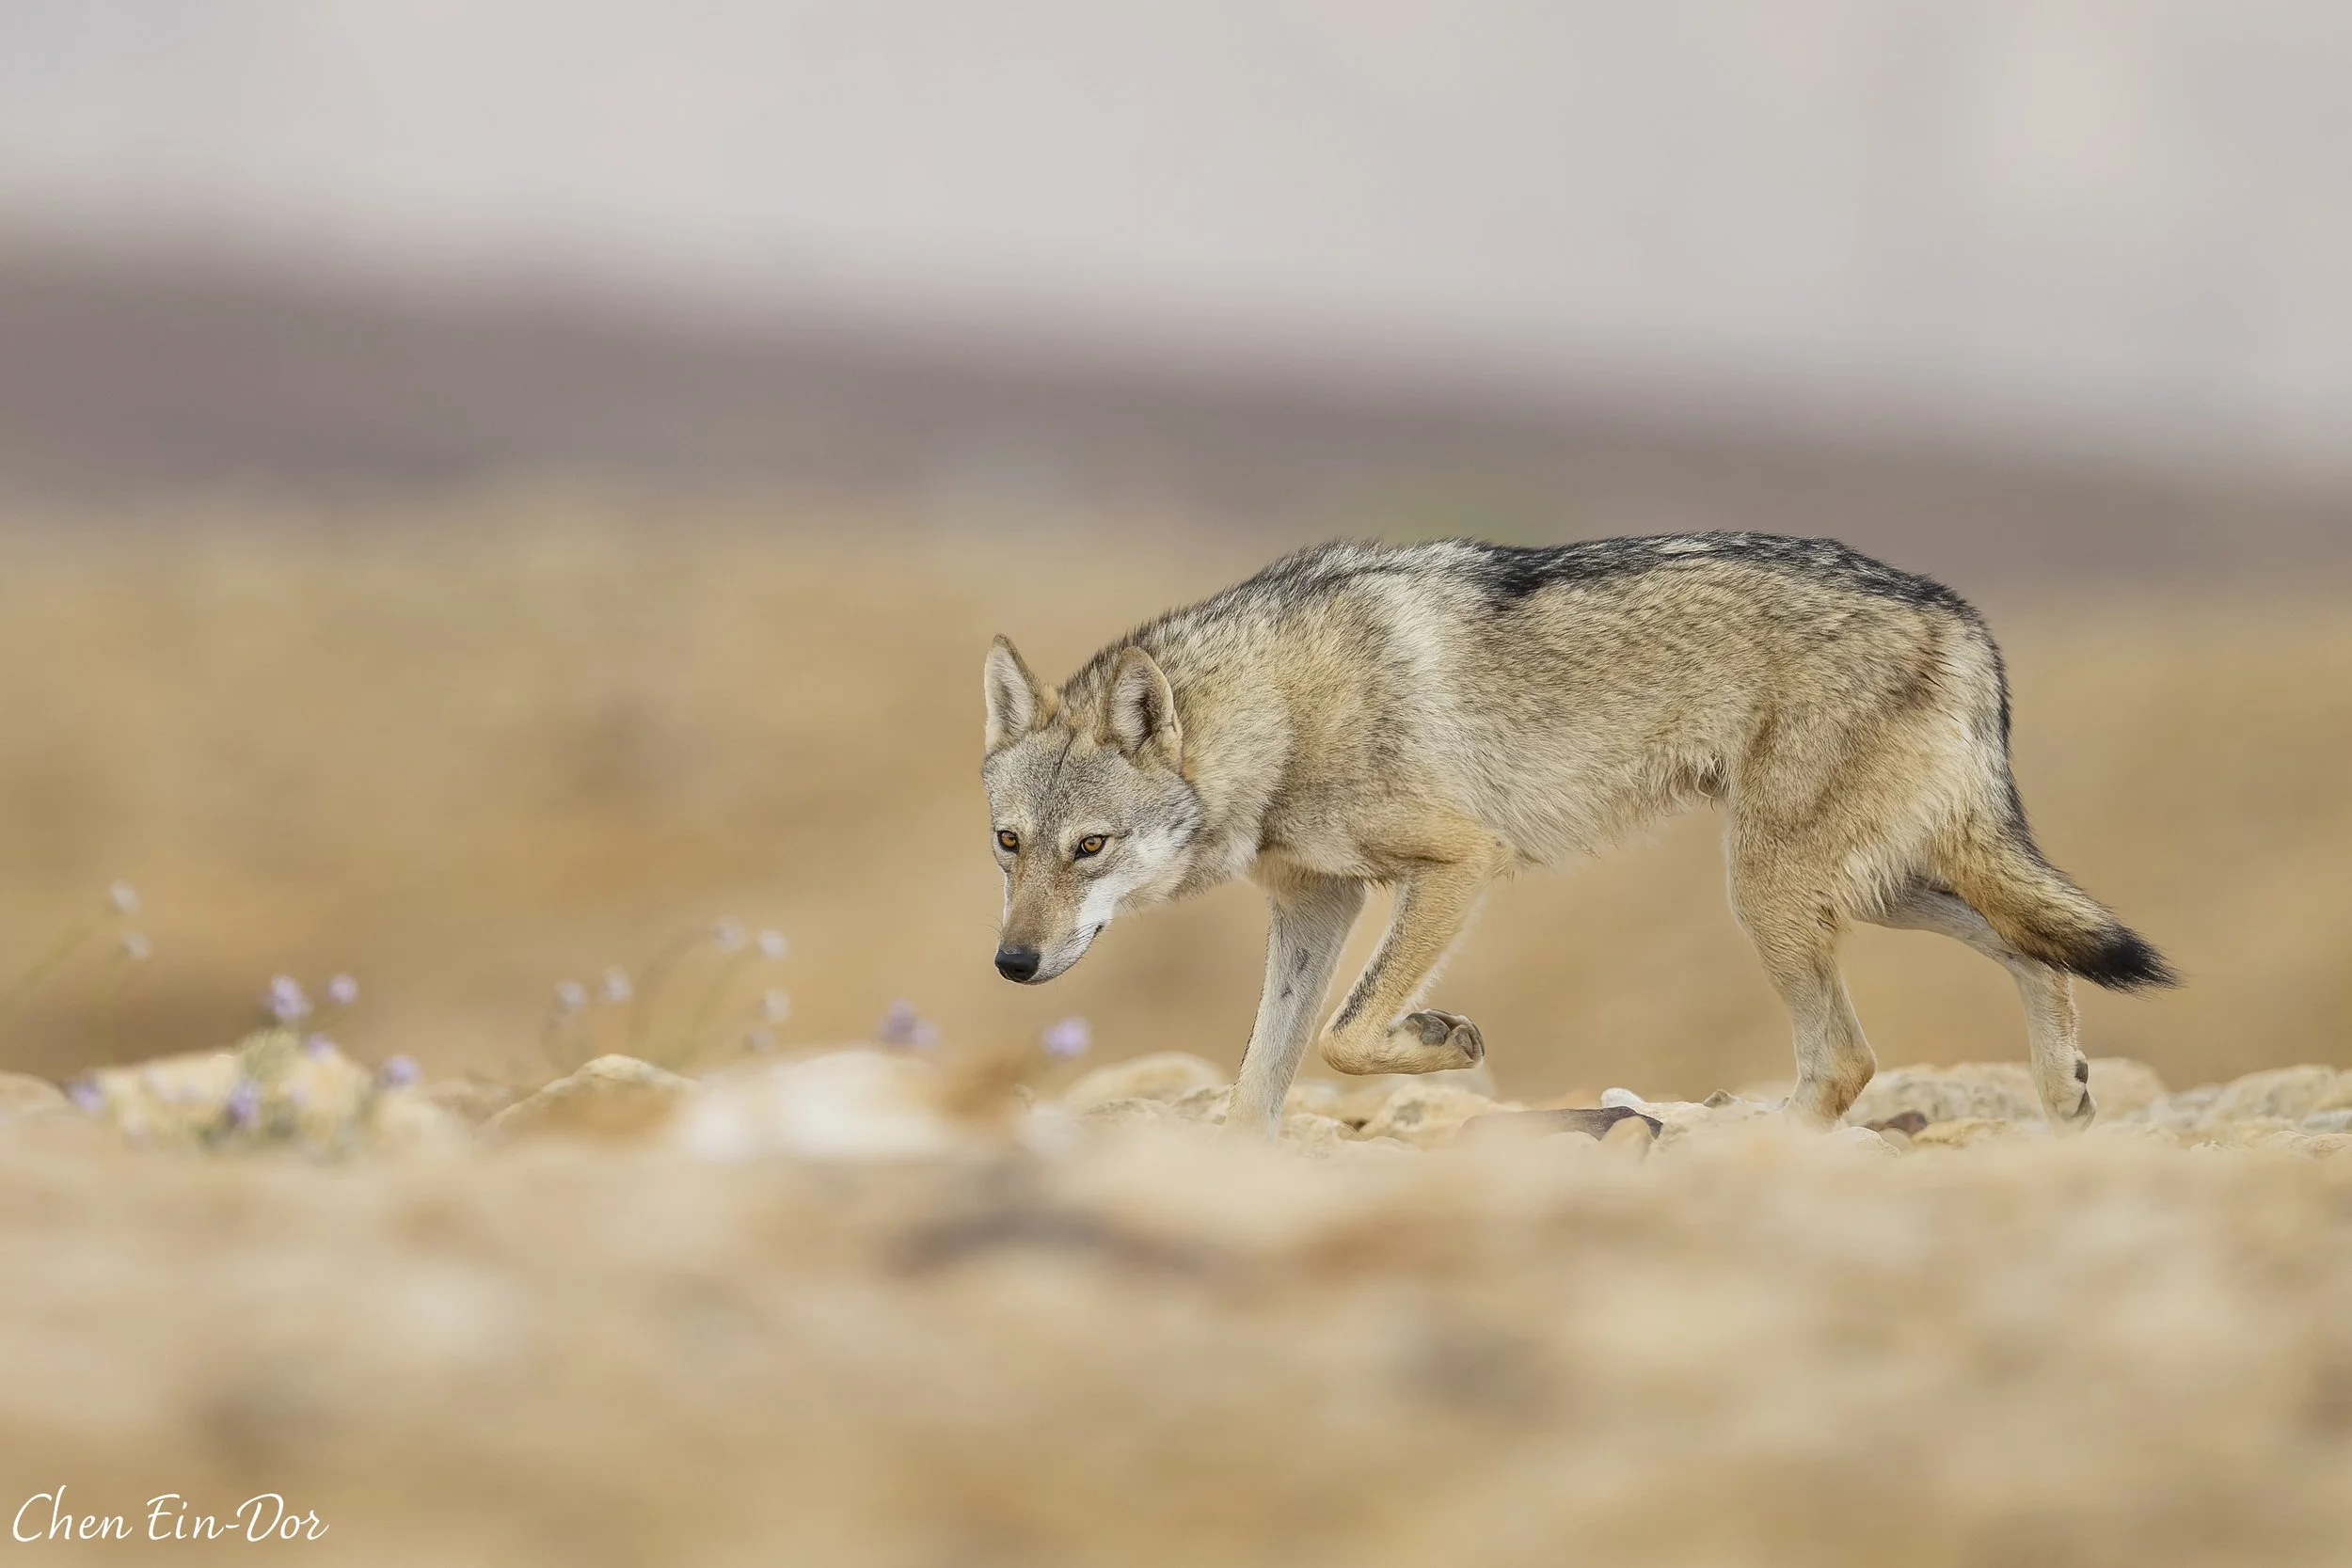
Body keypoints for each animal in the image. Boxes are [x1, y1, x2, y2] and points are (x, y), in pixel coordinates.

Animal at [981, 534, 2173, 1138]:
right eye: (1008, 843)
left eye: (1089, 847)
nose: (1011, 962)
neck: (1277, 712)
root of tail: (1961, 616)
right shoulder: (1316, 903)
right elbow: (1258, 1080)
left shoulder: (1460, 863)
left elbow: (1347, 1037)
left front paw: (1442, 1040)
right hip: (1867, 886)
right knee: (2033, 947)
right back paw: (2065, 1097)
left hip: (1772, 891)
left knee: (1847, 1057)